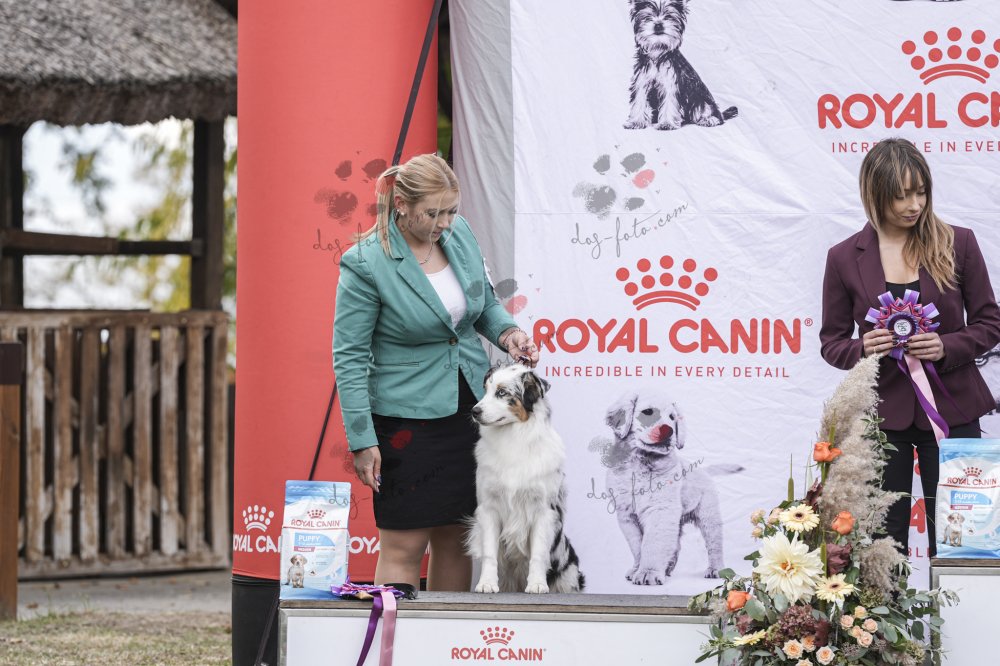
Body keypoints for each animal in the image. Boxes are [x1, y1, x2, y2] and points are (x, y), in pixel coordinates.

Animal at [467, 364, 585, 594]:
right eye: (486, 390)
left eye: (502, 392)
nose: (474, 411)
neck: (513, 436)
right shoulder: (489, 507)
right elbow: (489, 553)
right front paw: (486, 583)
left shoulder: (543, 510)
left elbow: (538, 553)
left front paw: (537, 584)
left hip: (569, 573)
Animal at [601, 390, 741, 584]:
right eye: (647, 412)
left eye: (672, 417)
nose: (668, 431)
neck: (641, 462)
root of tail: (704, 471)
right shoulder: (627, 515)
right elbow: (638, 546)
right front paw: (638, 569)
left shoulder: (661, 510)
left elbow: (652, 543)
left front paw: (648, 572)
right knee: (675, 544)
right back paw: (667, 568)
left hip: (708, 516)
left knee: (714, 544)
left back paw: (716, 569)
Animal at [624, 0, 738, 130]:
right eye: (647, 17)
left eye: (668, 16)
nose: (658, 25)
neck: (657, 52)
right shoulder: (641, 82)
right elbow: (639, 101)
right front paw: (636, 122)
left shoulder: (671, 84)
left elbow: (669, 103)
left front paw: (666, 124)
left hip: (700, 99)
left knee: (711, 112)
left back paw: (709, 119)